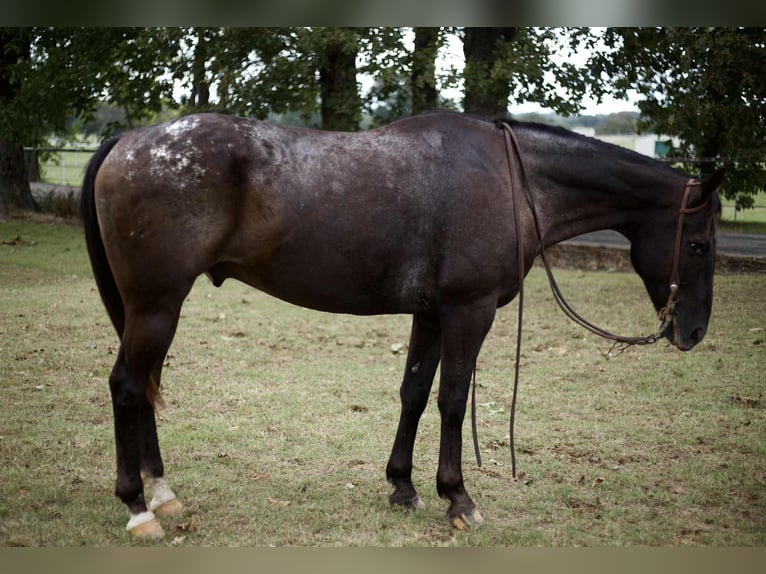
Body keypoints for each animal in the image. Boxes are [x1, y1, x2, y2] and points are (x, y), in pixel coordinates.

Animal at [80, 111, 724, 539]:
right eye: (698, 244)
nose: (692, 333)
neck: (511, 180)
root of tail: (129, 141)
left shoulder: (431, 314)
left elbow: (414, 393)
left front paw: (403, 487)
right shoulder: (469, 311)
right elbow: (453, 401)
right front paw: (458, 498)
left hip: (151, 311)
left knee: (143, 390)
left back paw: (163, 494)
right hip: (157, 307)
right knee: (127, 388)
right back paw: (138, 508)